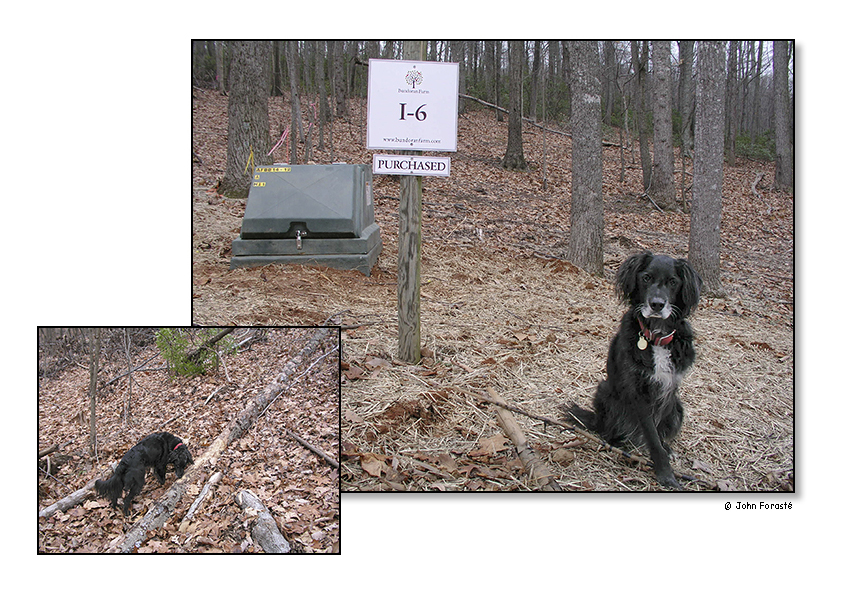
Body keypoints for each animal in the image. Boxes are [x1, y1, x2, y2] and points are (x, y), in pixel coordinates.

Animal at [572, 251, 704, 488]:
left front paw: (665, 452)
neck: (657, 337)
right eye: (646, 278)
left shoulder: (669, 388)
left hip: (678, 408)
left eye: (673, 282)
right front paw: (665, 474)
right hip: (606, 392)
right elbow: (651, 434)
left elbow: (657, 430)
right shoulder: (638, 392)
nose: (657, 304)